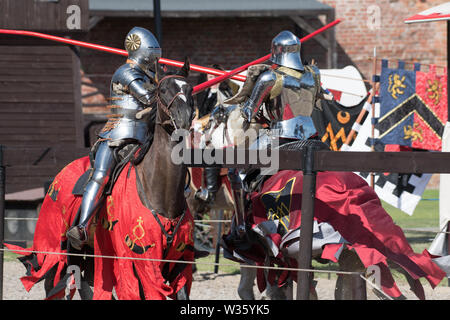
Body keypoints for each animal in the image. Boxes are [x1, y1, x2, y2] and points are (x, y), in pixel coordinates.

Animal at [6, 59, 197, 300]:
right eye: (162, 90)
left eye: (190, 89)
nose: (183, 118)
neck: (160, 192)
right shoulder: (139, 260)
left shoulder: (178, 261)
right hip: (55, 248)